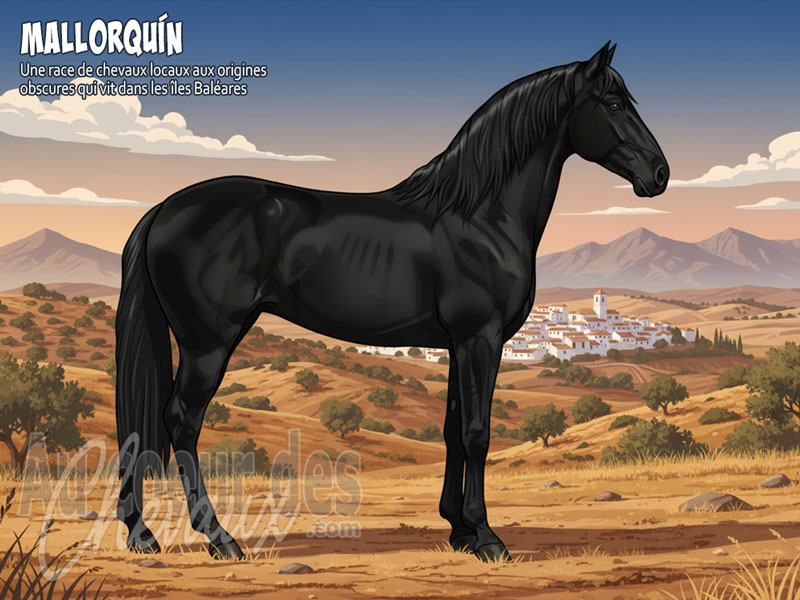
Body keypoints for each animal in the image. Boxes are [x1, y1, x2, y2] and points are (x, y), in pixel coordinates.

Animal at [115, 42, 668, 563]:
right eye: (613, 102)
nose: (660, 174)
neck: (478, 214)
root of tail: (164, 209)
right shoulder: (481, 338)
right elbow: (477, 433)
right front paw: (488, 539)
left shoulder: (456, 345)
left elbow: (451, 431)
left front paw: (459, 531)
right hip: (208, 342)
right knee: (182, 420)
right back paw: (218, 538)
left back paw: (143, 534)